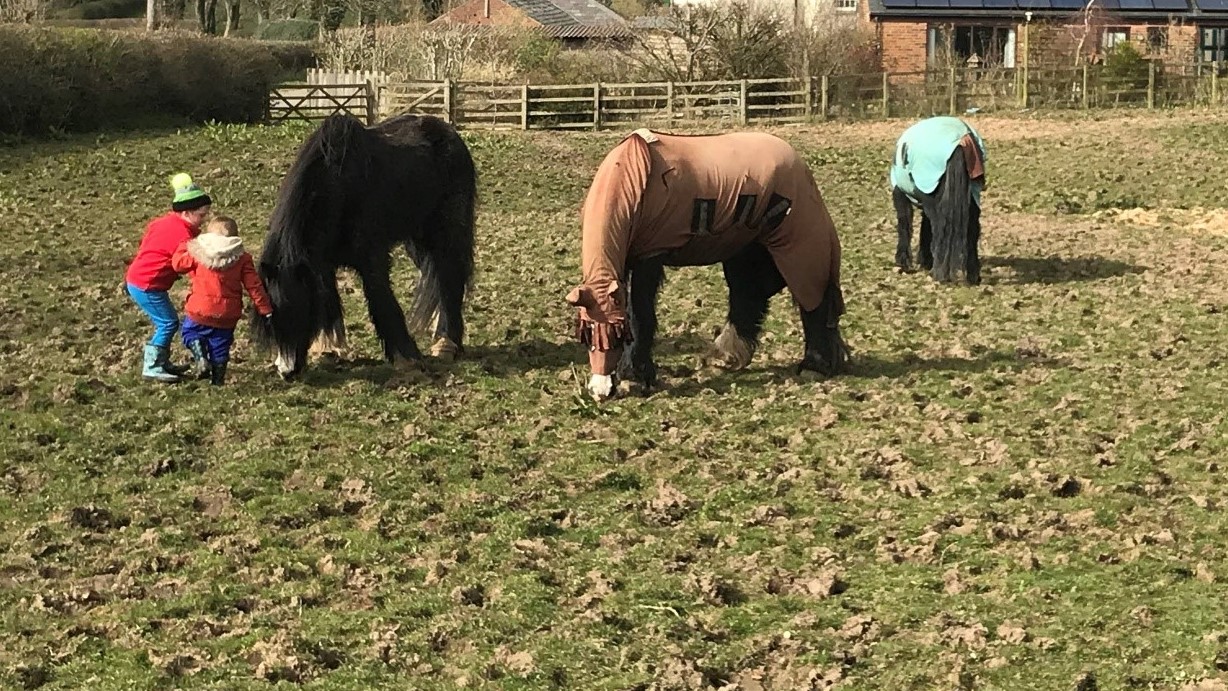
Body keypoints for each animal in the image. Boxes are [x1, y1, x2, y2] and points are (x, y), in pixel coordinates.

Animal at [250, 112, 477, 379]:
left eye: (300, 310)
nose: (286, 372)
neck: (337, 188)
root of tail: (450, 133)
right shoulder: (321, 264)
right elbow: (329, 302)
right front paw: (328, 349)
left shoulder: (372, 259)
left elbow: (382, 301)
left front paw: (406, 358)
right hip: (416, 240)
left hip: (447, 230)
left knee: (450, 276)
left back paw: (446, 343)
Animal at [564, 128, 849, 401]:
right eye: (586, 335)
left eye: (618, 335)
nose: (600, 391)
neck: (636, 177)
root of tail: (798, 163)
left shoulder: (650, 257)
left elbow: (641, 317)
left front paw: (635, 376)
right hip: (746, 251)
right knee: (748, 297)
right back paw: (727, 356)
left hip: (797, 249)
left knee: (813, 302)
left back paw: (814, 365)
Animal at [889, 116, 987, 285]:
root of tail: (961, 140)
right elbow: (924, 228)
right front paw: (924, 260)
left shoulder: (901, 195)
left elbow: (905, 226)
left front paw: (903, 263)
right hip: (972, 197)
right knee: (972, 230)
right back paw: (973, 276)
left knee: (940, 228)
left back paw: (939, 273)